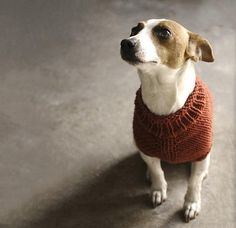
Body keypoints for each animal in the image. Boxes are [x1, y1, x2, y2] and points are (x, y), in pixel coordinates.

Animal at [120, 19, 214, 223]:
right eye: (134, 29)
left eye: (164, 32)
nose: (126, 42)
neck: (162, 93)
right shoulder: (146, 147)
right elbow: (157, 170)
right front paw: (157, 188)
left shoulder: (201, 152)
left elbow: (194, 183)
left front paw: (192, 203)